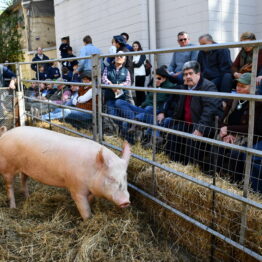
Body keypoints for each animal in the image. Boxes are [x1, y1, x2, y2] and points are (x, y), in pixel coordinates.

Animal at [0, 126, 131, 219]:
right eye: (111, 178)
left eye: (125, 176)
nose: (126, 201)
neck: (91, 170)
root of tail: (5, 134)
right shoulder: (76, 188)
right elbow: (84, 208)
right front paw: (88, 219)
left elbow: (91, 200)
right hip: (7, 168)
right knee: (9, 186)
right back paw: (13, 207)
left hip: (24, 168)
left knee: (23, 179)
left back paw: (28, 197)